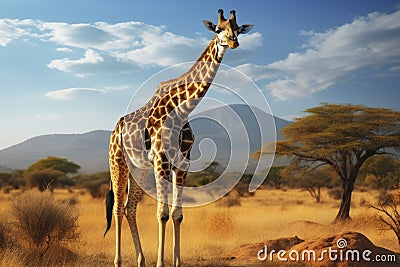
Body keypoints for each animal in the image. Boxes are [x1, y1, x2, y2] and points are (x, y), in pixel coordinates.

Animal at [104, 9, 253, 266]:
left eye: (237, 29)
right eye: (218, 29)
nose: (233, 42)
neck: (182, 109)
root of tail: (115, 129)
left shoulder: (183, 163)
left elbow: (177, 214)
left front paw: (177, 261)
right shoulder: (161, 161)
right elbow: (162, 214)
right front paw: (161, 262)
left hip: (139, 169)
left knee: (130, 208)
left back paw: (141, 260)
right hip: (118, 163)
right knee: (117, 208)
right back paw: (118, 261)